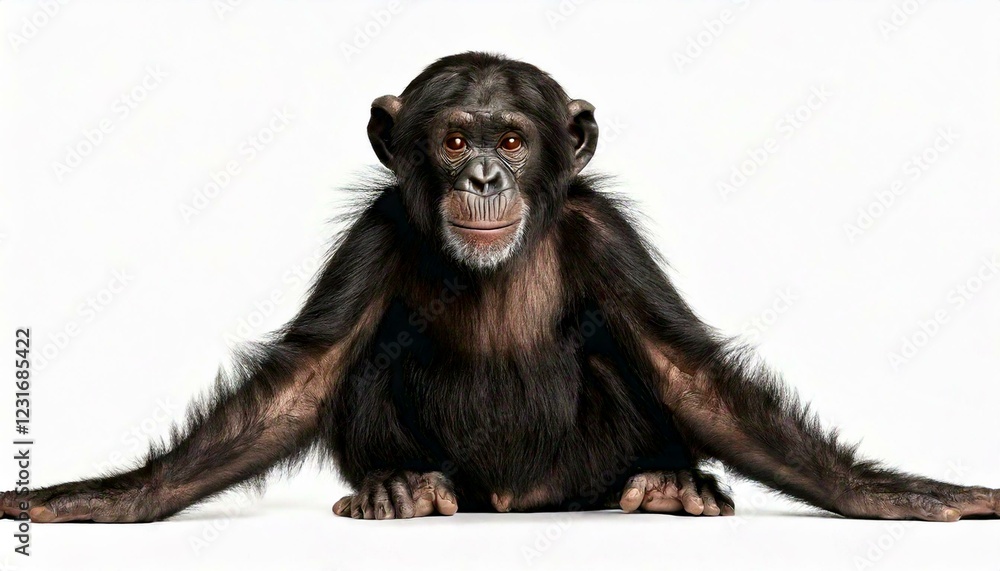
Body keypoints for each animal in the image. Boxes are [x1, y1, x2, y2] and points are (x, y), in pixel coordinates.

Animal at [3, 52, 996, 523]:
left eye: (512, 139)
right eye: (453, 139)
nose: (482, 174)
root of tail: (516, 502)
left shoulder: (607, 236)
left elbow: (689, 377)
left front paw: (899, 497)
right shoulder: (373, 238)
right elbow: (304, 383)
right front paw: (100, 498)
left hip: (578, 472)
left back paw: (669, 482)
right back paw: (399, 487)